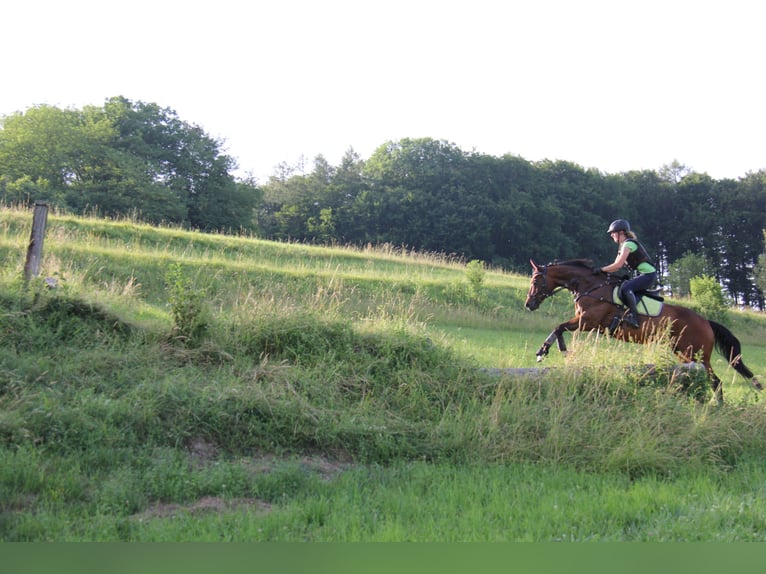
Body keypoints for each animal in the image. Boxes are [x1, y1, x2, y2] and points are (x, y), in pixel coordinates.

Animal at [528, 258, 760, 402]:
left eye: (536, 280)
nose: (528, 304)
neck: (590, 286)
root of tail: (706, 322)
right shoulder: (586, 323)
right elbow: (559, 328)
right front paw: (552, 350)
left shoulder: (587, 321)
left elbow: (559, 327)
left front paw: (546, 351)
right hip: (684, 354)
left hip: (697, 354)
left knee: (716, 382)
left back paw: (717, 406)